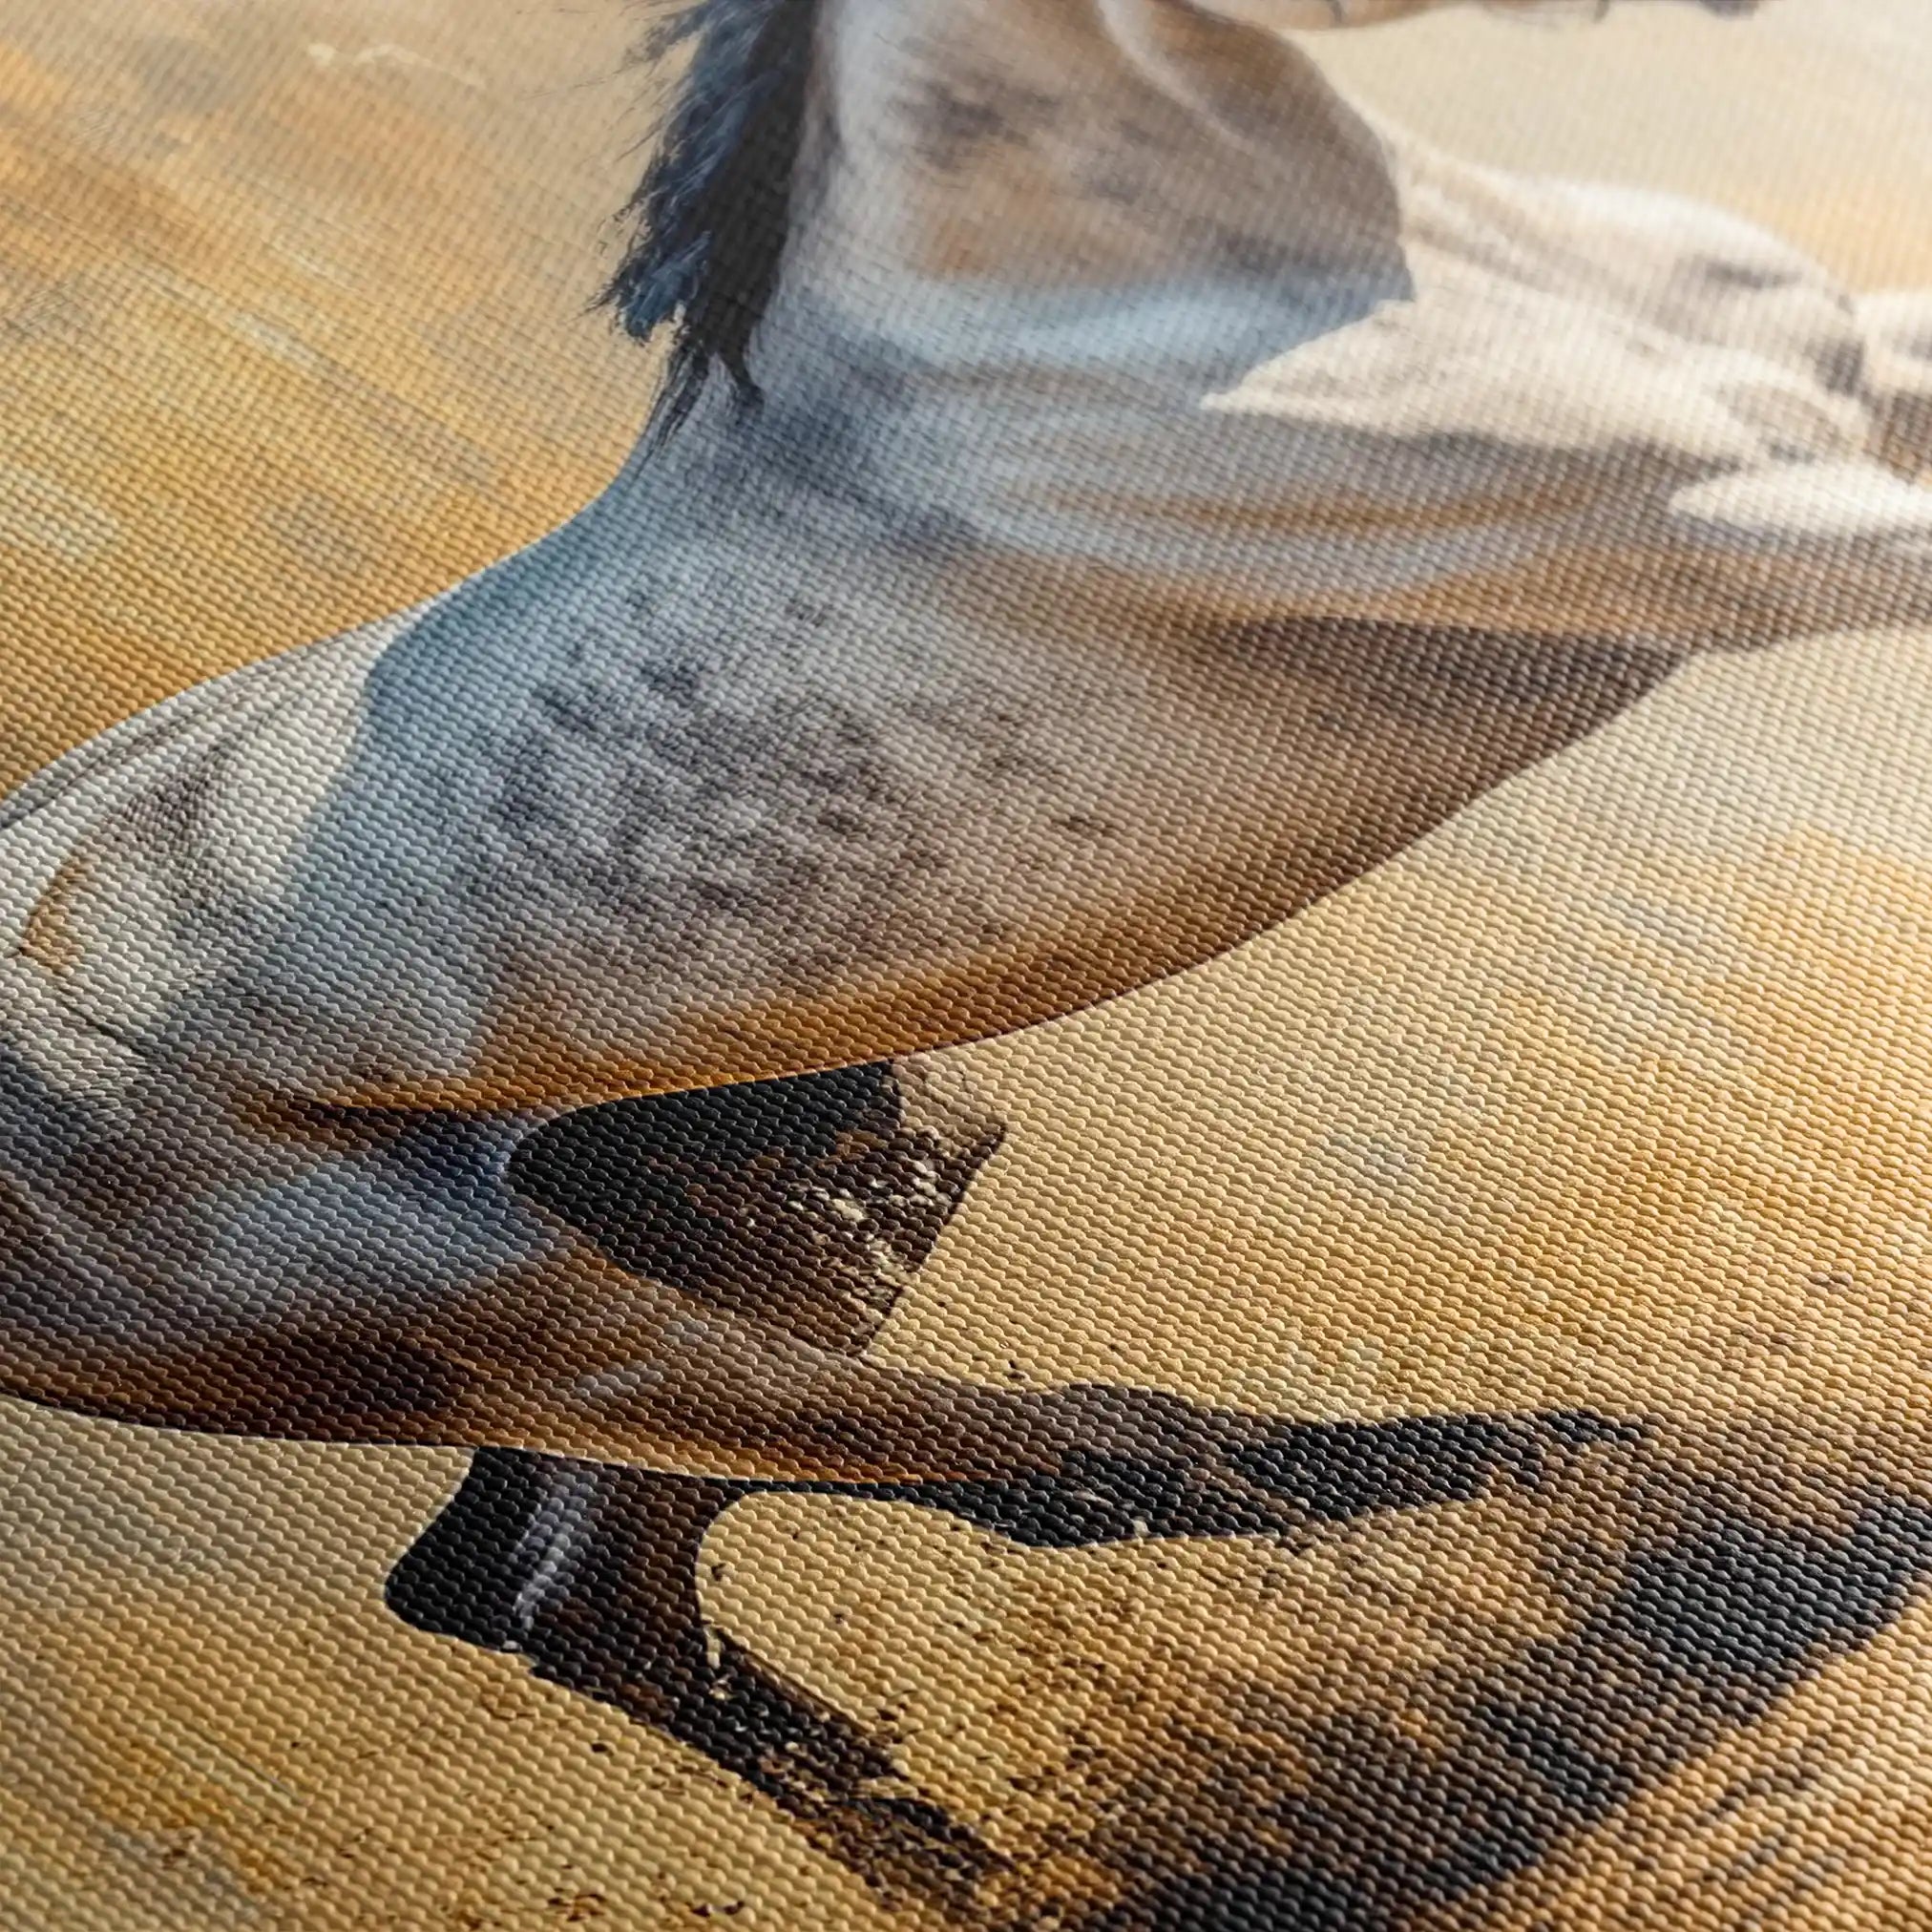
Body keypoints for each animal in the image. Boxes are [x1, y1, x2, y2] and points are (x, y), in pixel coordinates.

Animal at [6, 0, 1932, 1911]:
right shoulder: (1721, 531)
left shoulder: (1848, 396)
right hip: (507, 1321)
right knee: (1043, 1464)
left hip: (837, 1157)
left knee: (579, 1585)